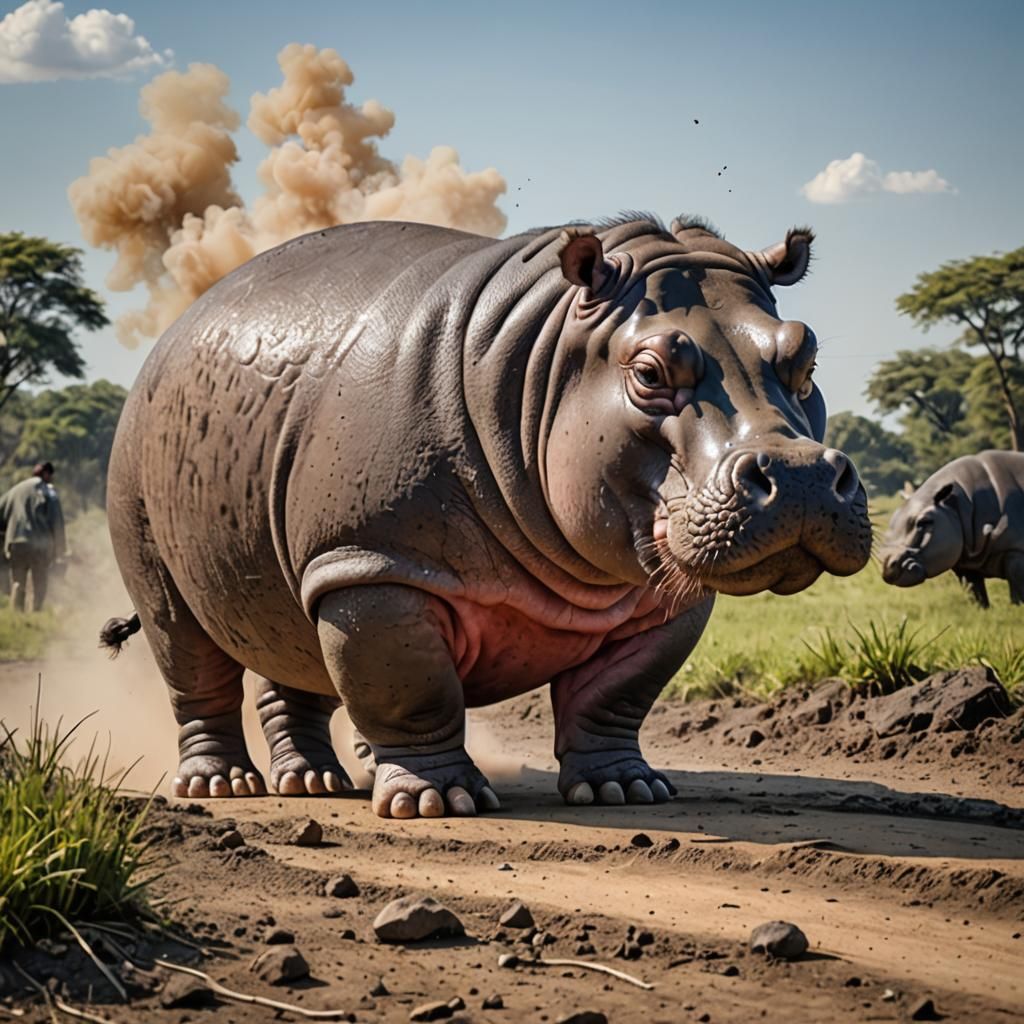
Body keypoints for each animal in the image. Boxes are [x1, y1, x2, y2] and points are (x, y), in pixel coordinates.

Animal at [100, 214, 871, 818]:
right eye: (650, 372)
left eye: (805, 356)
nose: (800, 478)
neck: (549, 361)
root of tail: (175, 330)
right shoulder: (375, 565)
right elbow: (413, 688)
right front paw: (437, 804)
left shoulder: (663, 597)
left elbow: (617, 693)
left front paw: (628, 792)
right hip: (148, 495)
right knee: (187, 654)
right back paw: (222, 788)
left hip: (287, 536)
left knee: (286, 646)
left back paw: (314, 784)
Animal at [880, 450, 1024, 607]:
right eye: (893, 517)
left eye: (923, 522)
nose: (886, 565)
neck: (955, 505)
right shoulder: (967, 562)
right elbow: (975, 593)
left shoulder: (1016, 550)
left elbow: (1017, 590)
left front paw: (1016, 608)